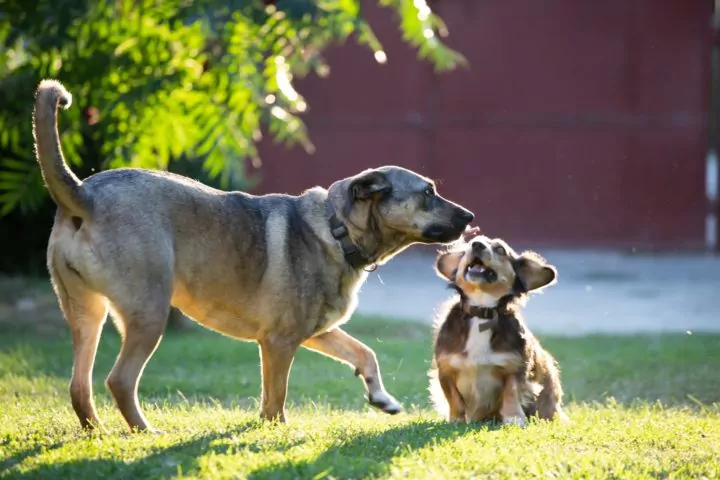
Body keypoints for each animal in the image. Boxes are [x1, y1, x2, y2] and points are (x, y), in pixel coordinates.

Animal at [33, 79, 476, 432]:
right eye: (428, 192)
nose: (472, 217)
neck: (336, 232)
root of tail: (84, 196)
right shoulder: (279, 342)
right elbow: (275, 399)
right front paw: (275, 431)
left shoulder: (316, 331)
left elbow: (364, 354)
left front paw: (382, 399)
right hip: (148, 315)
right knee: (120, 380)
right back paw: (145, 432)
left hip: (87, 314)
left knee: (79, 386)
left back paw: (96, 430)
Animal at [428, 234, 568, 426]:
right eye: (469, 245)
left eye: (500, 249)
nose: (477, 245)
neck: (482, 311)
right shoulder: (446, 370)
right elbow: (453, 398)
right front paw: (456, 419)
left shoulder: (516, 367)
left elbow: (511, 392)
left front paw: (514, 418)